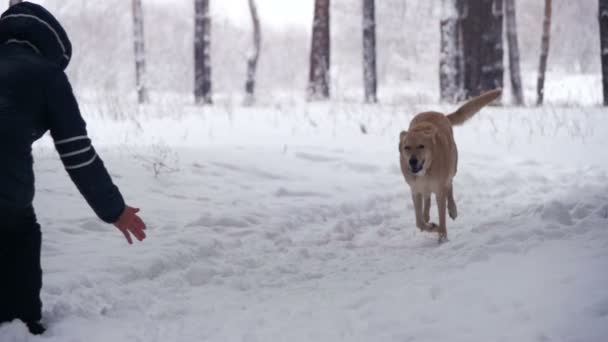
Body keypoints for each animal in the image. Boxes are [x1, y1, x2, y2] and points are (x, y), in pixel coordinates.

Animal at [400, 89, 498, 243]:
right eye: (407, 147)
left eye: (421, 146)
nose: (412, 161)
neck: (426, 170)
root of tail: (440, 114)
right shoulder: (415, 190)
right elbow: (419, 222)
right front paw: (431, 226)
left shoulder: (439, 190)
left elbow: (442, 216)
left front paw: (442, 235)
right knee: (427, 198)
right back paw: (427, 215)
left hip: (452, 167)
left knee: (449, 186)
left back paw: (452, 209)